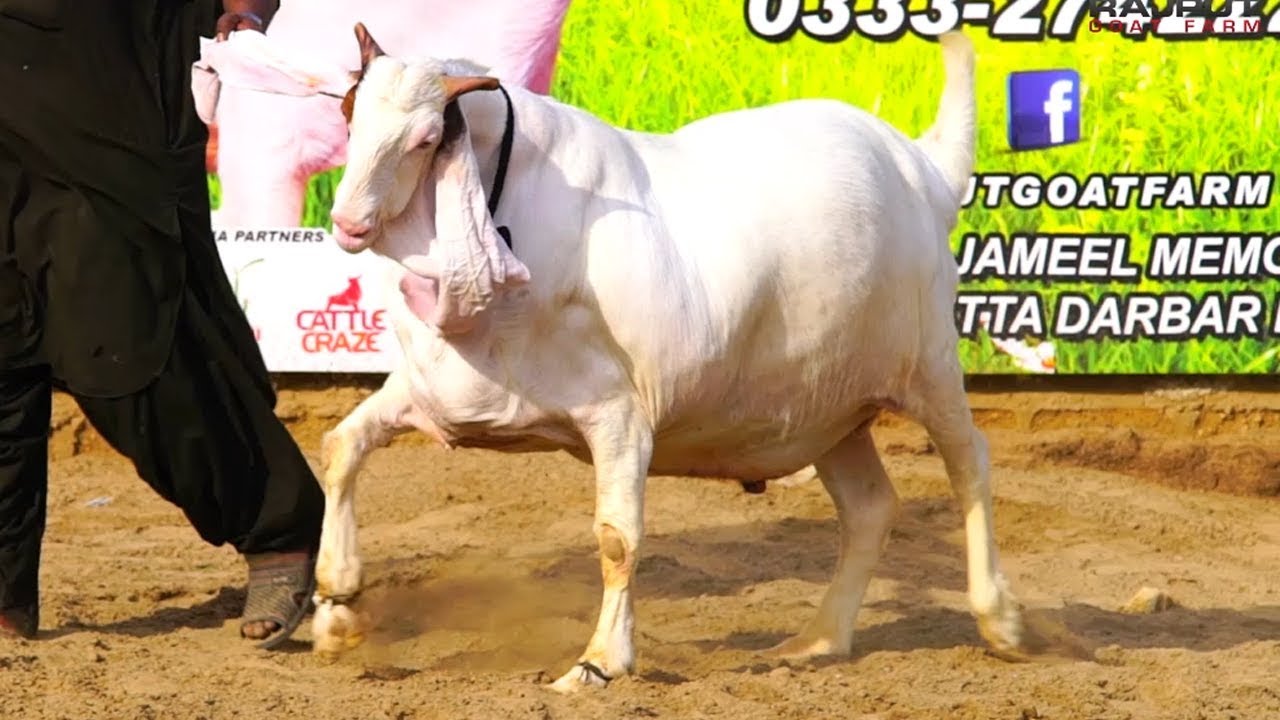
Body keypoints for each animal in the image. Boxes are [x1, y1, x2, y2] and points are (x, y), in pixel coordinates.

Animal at [313, 25, 1030, 692]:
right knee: (870, 508)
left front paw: (599, 663)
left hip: (928, 362)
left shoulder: (619, 415)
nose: (347, 223)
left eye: (427, 136)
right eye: (348, 113)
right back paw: (820, 639)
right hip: (828, 404)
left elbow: (616, 538)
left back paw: (1000, 622)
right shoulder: (434, 391)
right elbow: (342, 445)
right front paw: (335, 601)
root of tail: (922, 167)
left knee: (969, 464)